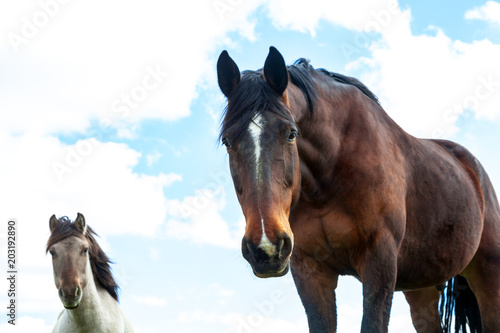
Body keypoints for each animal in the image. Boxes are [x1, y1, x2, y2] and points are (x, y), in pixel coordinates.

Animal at [218, 47, 500, 332]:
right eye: (227, 141)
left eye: (291, 133)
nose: (266, 246)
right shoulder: (310, 270)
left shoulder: (379, 262)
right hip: (421, 290)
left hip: (487, 276)